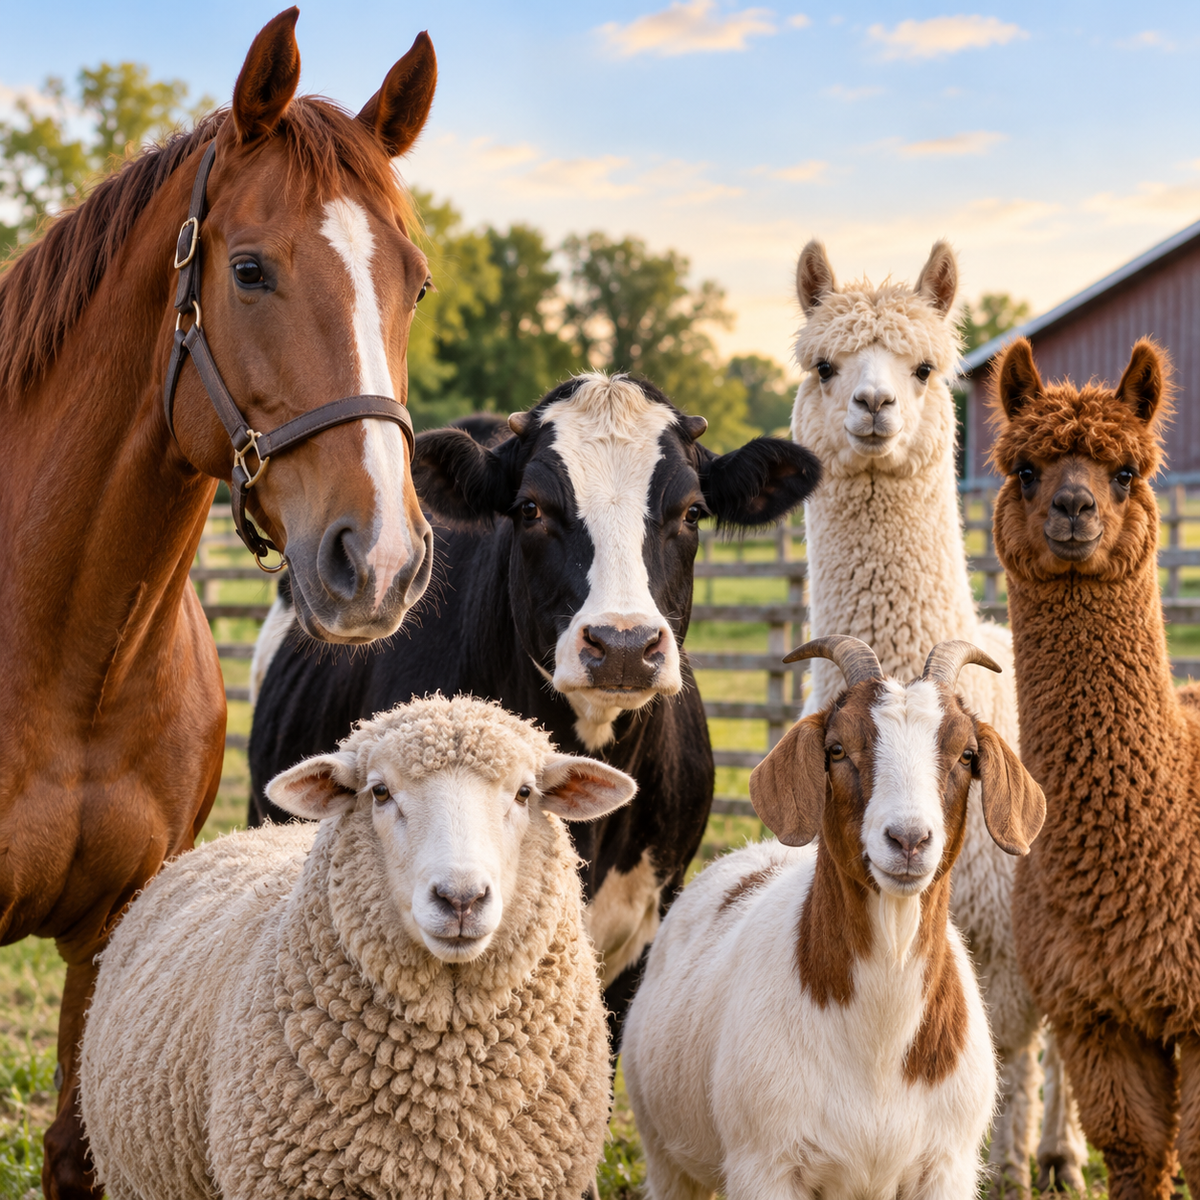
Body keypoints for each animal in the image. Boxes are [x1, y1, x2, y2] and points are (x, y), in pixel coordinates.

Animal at [0, 10, 437, 1196]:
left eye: (417, 283)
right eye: (249, 270)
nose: (380, 560)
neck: (71, 661)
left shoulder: (114, 931)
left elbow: (76, 1156)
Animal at [621, 635, 1046, 1200]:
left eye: (967, 754)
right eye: (838, 749)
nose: (908, 840)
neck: (879, 1046)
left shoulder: (947, 1167)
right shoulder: (766, 1165)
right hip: (667, 1155)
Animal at [790, 238, 1086, 1193]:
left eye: (924, 368)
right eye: (824, 365)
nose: (874, 405)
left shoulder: (1004, 938)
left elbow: (1013, 1063)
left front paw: (1013, 1167)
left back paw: (1061, 1153)